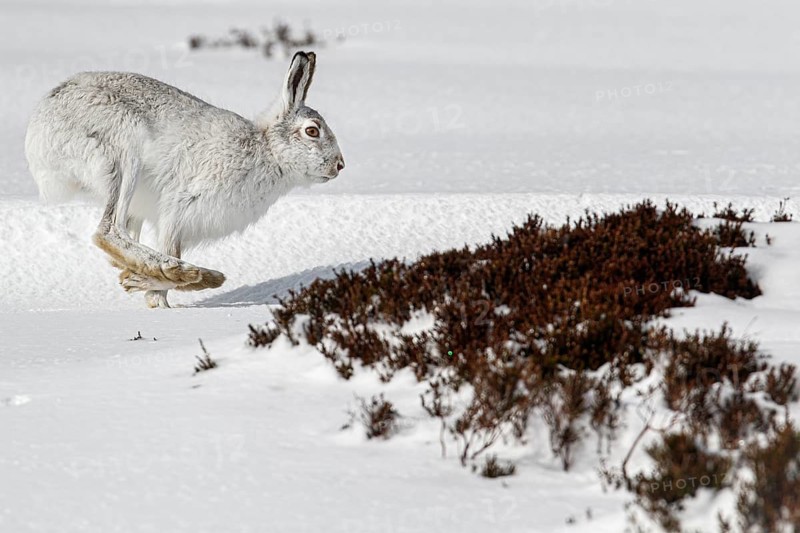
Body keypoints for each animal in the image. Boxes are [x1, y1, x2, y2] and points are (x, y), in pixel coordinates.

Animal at [25, 51, 344, 308]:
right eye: (312, 131)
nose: (340, 165)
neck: (267, 150)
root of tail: (39, 132)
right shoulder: (179, 208)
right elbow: (167, 252)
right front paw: (155, 291)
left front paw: (139, 285)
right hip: (123, 153)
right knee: (108, 231)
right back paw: (196, 274)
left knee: (118, 244)